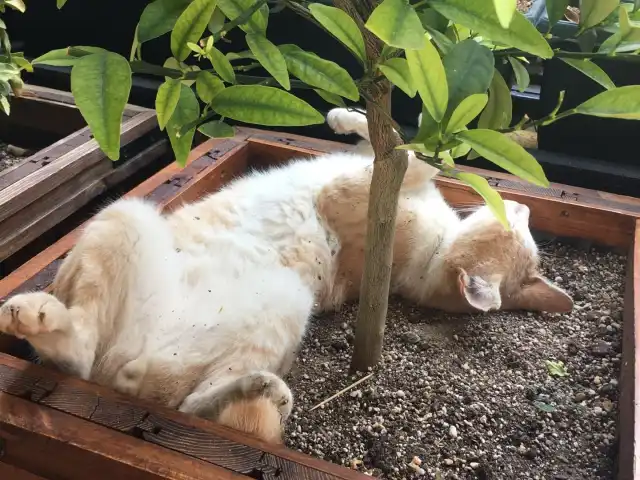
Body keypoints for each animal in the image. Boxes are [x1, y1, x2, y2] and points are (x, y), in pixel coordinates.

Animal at [0, 108, 568, 442]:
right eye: (520, 224)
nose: (523, 205)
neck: (425, 259)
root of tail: (126, 375)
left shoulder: (359, 187)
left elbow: (408, 150)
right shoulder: (370, 172)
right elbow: (384, 140)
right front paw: (344, 116)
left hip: (262, 289)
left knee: (148, 387)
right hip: (141, 229)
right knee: (167, 394)